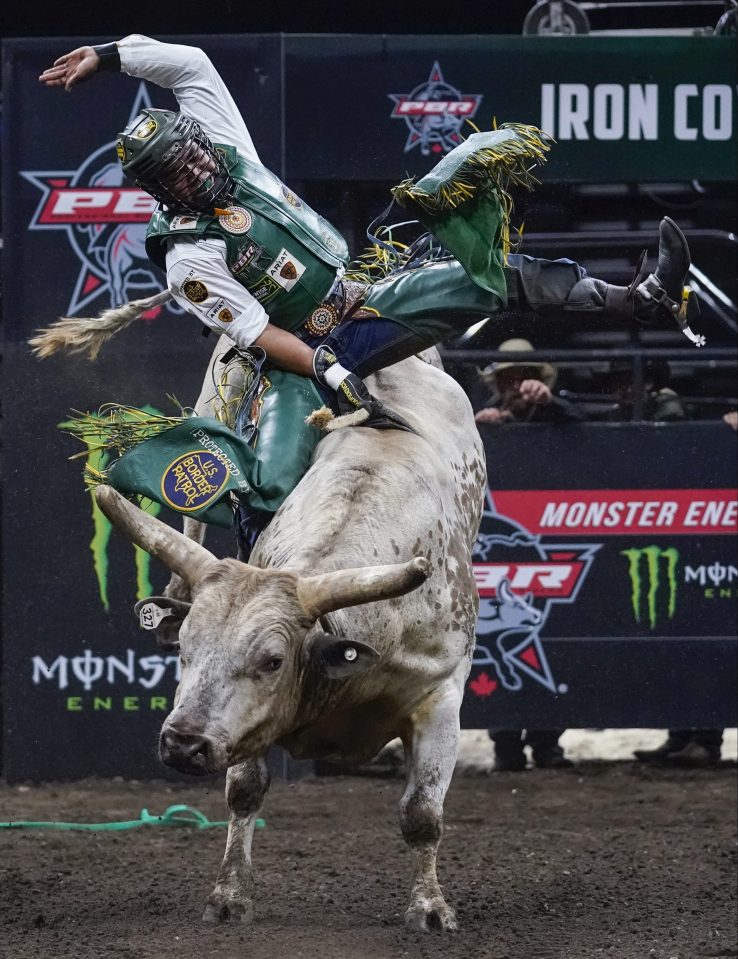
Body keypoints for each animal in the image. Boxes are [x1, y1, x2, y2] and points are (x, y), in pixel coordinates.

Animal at [93, 344, 484, 928]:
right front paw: (229, 896)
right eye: (185, 650)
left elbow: (422, 814)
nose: (183, 743)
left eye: (272, 660)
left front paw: (430, 907)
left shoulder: (441, 695)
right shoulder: (247, 728)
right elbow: (244, 792)